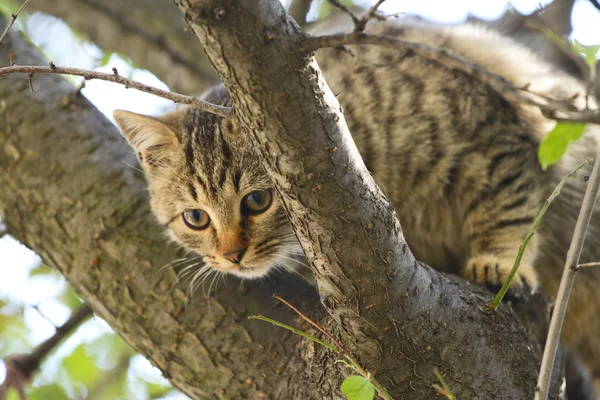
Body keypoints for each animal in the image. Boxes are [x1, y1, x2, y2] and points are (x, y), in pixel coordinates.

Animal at [113, 19, 600, 390]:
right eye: (195, 218)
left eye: (257, 200)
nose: (231, 255)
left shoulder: (492, 134)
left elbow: (508, 202)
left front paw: (500, 260)